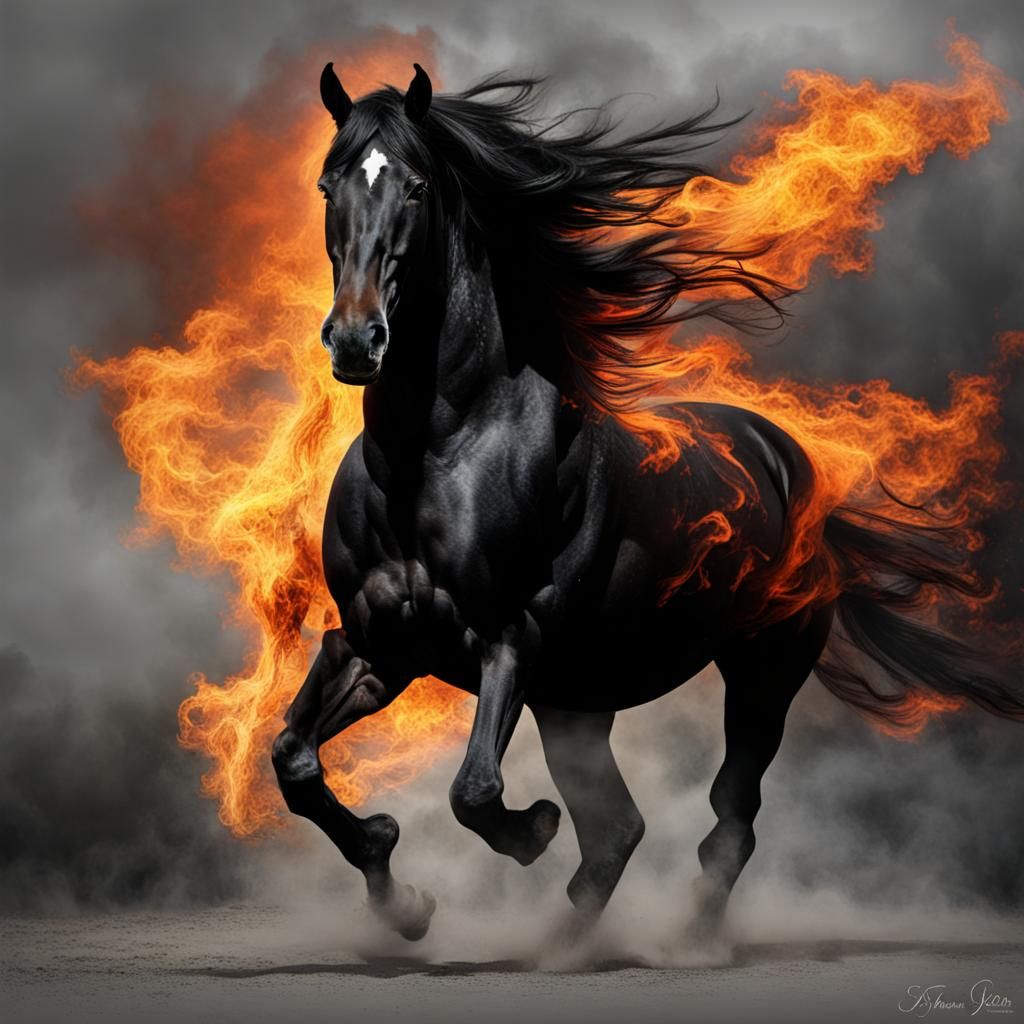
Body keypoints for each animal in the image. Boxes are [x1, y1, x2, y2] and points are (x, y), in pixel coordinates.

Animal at [271, 63, 1023, 946]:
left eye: (416, 187)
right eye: (328, 186)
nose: (358, 340)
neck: (437, 452)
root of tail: (788, 461)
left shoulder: (508, 640)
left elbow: (475, 791)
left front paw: (528, 832)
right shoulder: (378, 644)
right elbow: (293, 760)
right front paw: (404, 897)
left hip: (760, 669)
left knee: (727, 816)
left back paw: (683, 938)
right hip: (578, 700)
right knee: (620, 830)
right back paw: (569, 942)